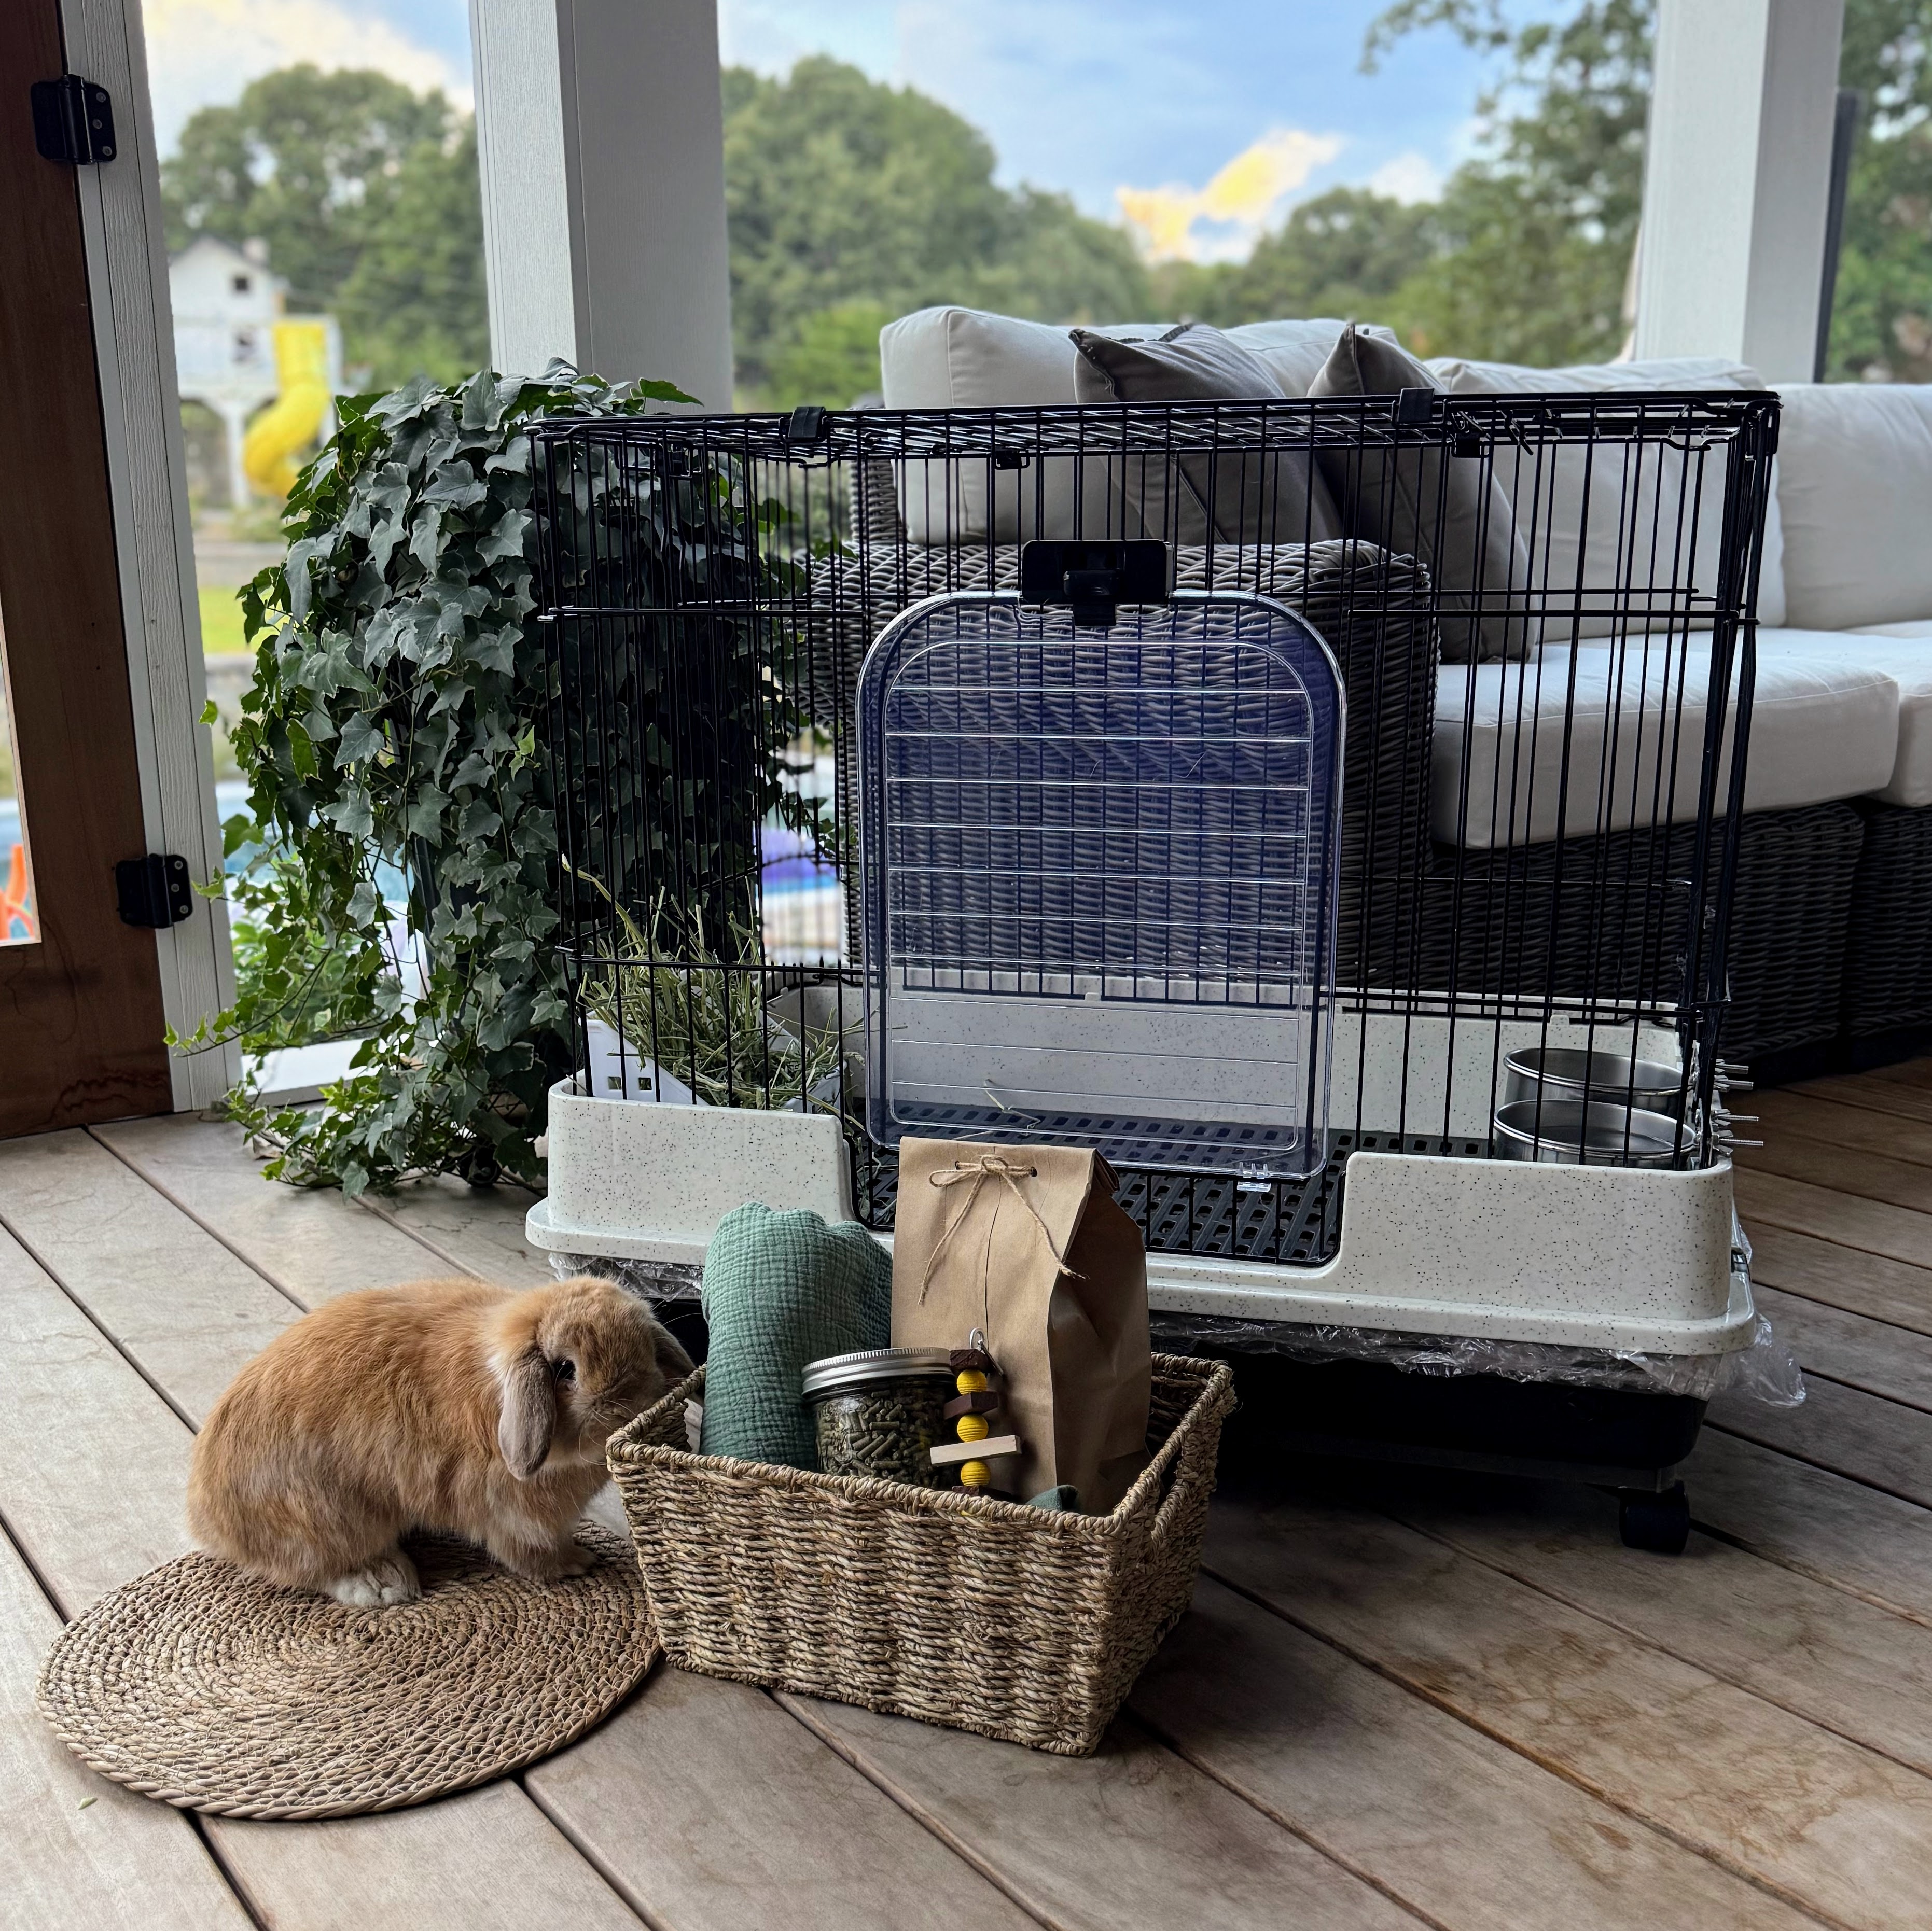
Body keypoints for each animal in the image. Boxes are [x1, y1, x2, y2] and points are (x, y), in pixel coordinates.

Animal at [188, 1275, 692, 1608]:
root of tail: (207, 1519)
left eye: (646, 1348)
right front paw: (576, 1562)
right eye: (565, 1370)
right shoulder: (513, 1515)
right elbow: (531, 1551)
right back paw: (383, 1583)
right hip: (328, 1519)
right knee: (320, 1568)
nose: (630, 1404)